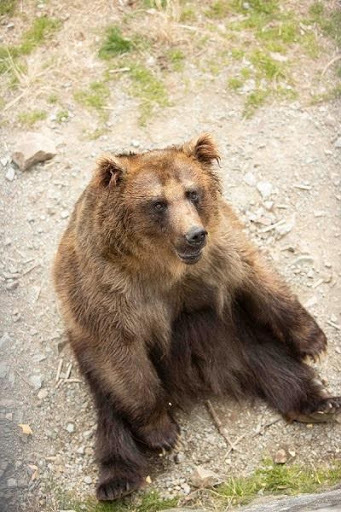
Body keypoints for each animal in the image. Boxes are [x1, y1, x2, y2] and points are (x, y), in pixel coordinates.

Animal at [53, 134, 340, 502]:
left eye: (192, 192)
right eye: (158, 203)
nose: (194, 234)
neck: (164, 265)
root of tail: (200, 377)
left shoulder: (220, 250)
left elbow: (259, 277)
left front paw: (313, 341)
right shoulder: (105, 291)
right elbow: (124, 358)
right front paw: (162, 432)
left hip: (237, 331)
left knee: (276, 362)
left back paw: (321, 405)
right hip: (90, 356)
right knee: (111, 407)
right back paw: (117, 480)